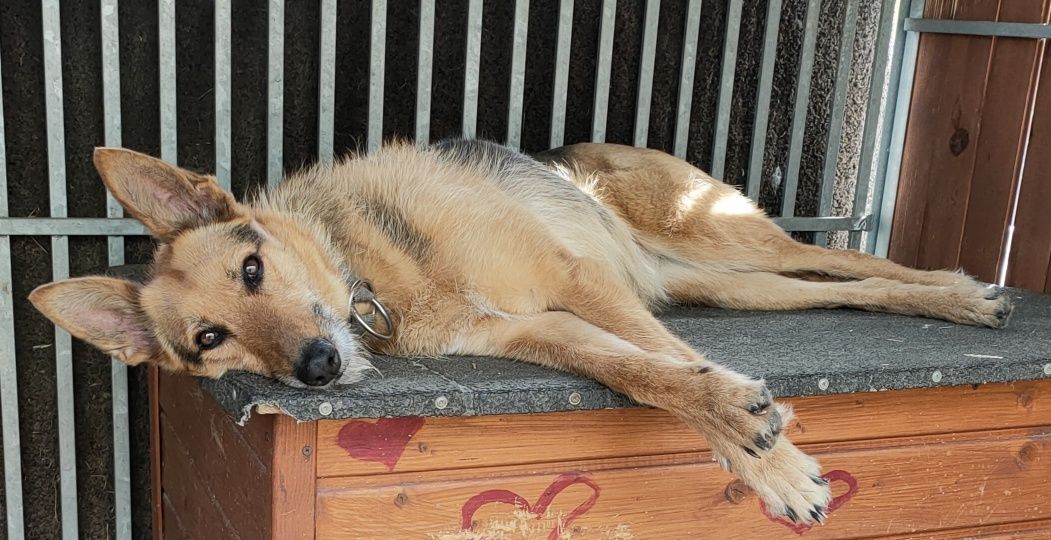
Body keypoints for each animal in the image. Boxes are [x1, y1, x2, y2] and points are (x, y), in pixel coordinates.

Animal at [28, 137, 1008, 521]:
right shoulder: (544, 329)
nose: (314, 368)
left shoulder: (575, 281)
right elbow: (647, 372)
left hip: (715, 235)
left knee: (843, 260)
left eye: (253, 269)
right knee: (834, 287)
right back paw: (954, 303)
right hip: (720, 286)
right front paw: (745, 429)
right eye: (209, 341)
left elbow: (675, 364)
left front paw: (769, 458)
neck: (374, 274)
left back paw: (963, 294)